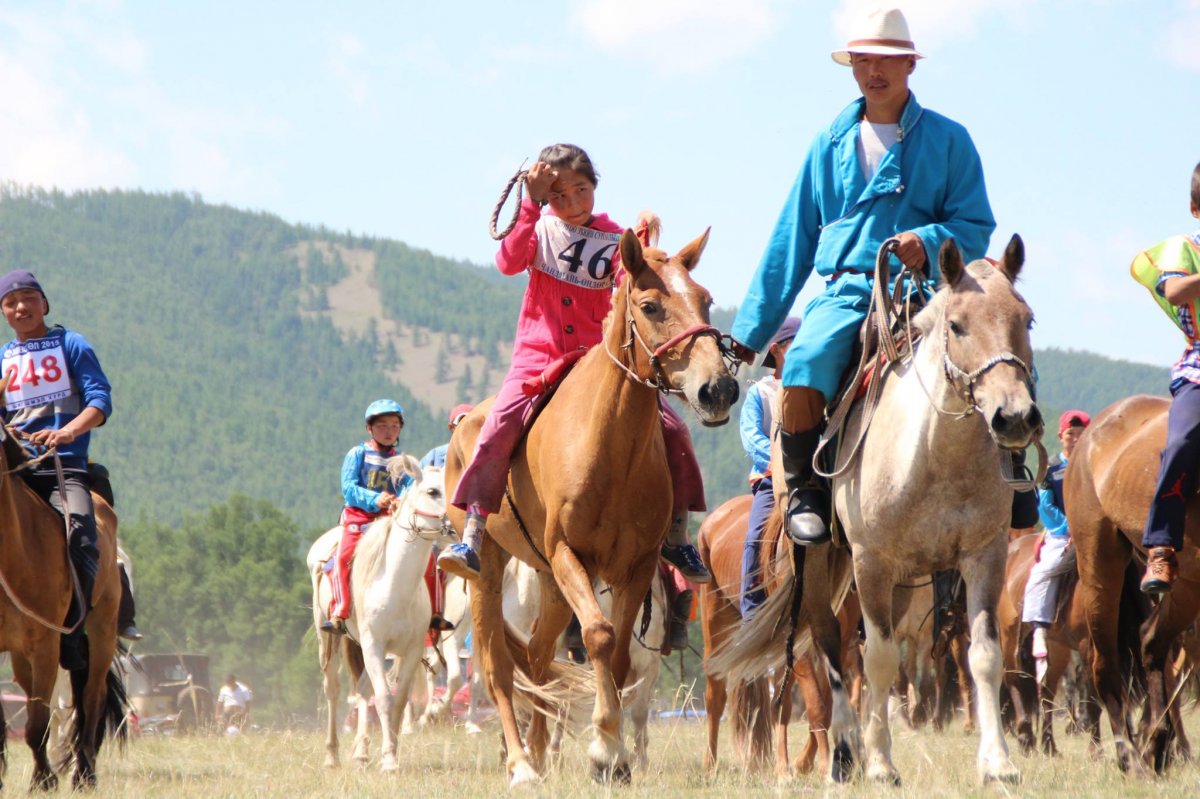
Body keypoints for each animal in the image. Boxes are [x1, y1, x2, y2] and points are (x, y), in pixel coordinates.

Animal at [0, 427, 126, 787]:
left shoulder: (45, 646)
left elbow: (37, 725)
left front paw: (44, 781)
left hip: (101, 634)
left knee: (92, 698)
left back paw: (85, 774)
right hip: (20, 656)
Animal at [307, 458, 456, 767]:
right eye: (433, 491)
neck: (395, 585)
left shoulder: (410, 649)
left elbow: (397, 701)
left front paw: (391, 752)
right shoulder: (374, 645)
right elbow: (385, 699)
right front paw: (388, 760)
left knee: (363, 690)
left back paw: (361, 752)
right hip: (328, 639)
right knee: (334, 690)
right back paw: (332, 755)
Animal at [446, 225, 734, 782]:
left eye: (705, 300)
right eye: (650, 305)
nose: (719, 388)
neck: (609, 448)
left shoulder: (635, 567)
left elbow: (617, 654)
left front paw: (614, 755)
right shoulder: (569, 555)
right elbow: (599, 636)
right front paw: (604, 749)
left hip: (548, 584)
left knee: (538, 659)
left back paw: (539, 750)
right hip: (490, 571)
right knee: (498, 668)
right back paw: (520, 762)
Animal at [1065, 393, 1195, 772]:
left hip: (1186, 582)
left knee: (1151, 640)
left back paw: (1156, 742)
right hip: (1098, 564)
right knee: (1105, 667)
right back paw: (1132, 757)